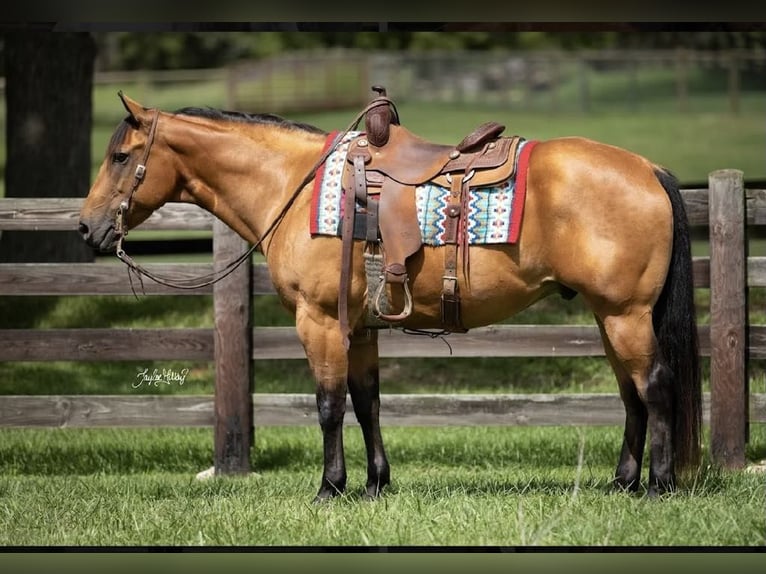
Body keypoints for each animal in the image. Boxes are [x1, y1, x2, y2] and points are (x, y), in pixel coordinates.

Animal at [79, 92, 704, 502]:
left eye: (119, 157)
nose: (86, 228)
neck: (291, 184)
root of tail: (648, 168)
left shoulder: (320, 321)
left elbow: (329, 405)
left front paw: (329, 489)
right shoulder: (358, 327)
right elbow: (367, 403)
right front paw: (376, 484)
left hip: (626, 316)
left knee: (655, 385)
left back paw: (659, 485)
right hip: (610, 317)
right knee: (630, 395)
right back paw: (622, 482)